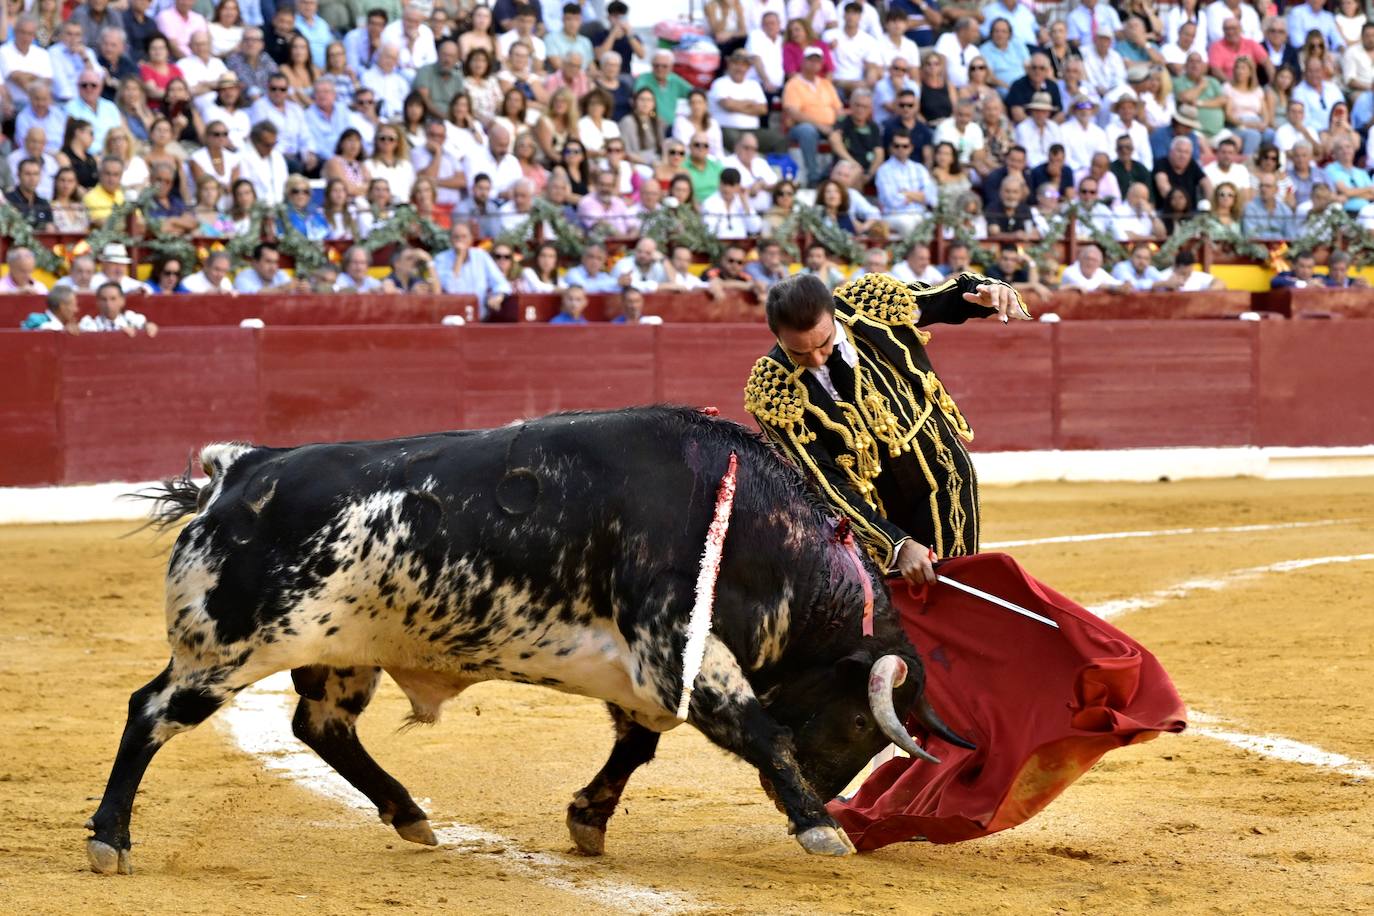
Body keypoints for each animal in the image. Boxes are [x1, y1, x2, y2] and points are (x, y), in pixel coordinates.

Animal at [85, 403, 972, 873]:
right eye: (860, 719)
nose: (828, 790)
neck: (751, 529)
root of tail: (238, 471)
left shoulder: (646, 672)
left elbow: (636, 748)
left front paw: (588, 820)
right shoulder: (678, 649)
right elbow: (756, 729)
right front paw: (820, 828)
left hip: (340, 654)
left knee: (321, 727)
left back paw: (410, 815)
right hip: (225, 649)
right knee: (149, 713)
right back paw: (108, 840)